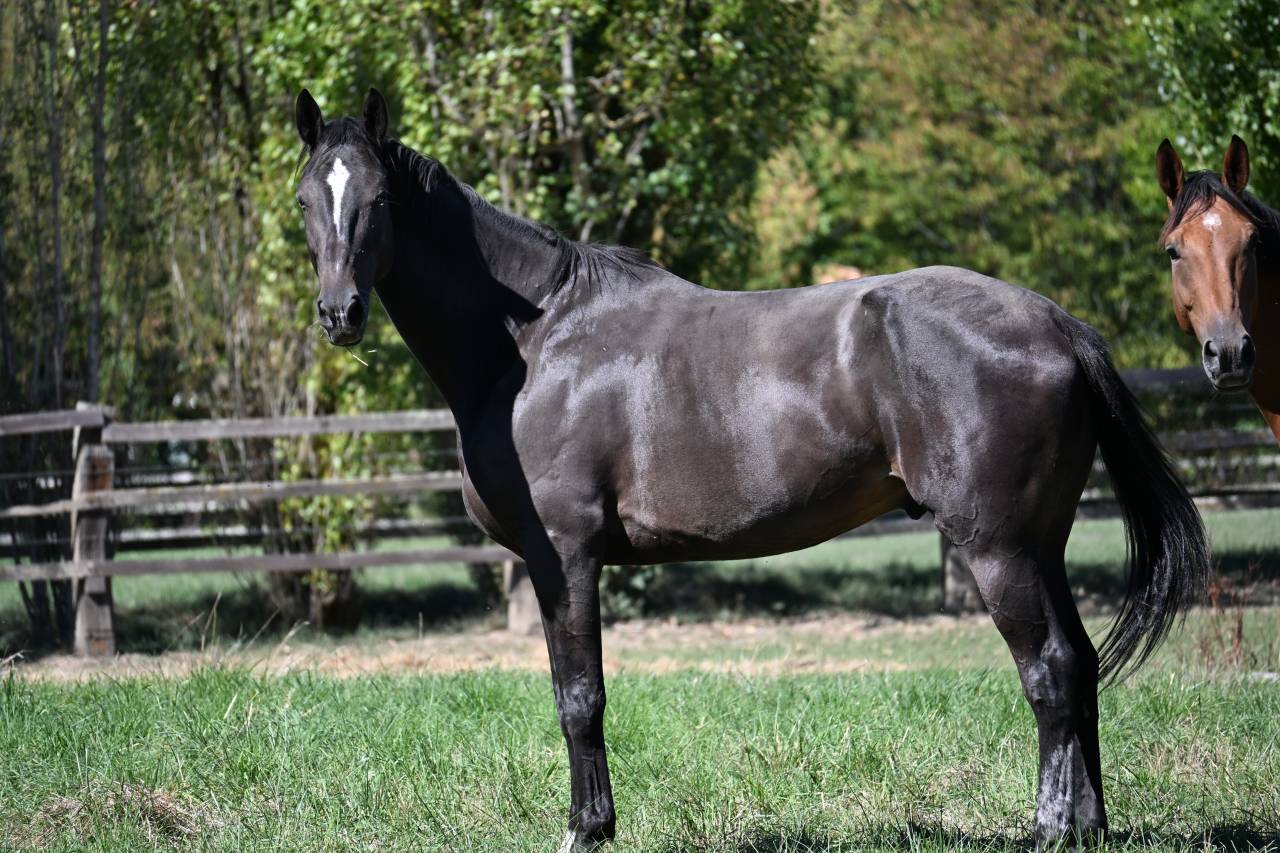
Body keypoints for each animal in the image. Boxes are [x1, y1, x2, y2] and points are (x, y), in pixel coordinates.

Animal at [294, 88, 1209, 850]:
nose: (340, 313)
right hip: (1040, 545)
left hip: (999, 549)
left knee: (1049, 669)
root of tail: (1056, 323)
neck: (535, 338)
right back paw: (1088, 825)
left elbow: (579, 696)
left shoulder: (567, 554)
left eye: (378, 200)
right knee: (1080, 665)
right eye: (306, 199)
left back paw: (1050, 827)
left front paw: (587, 830)